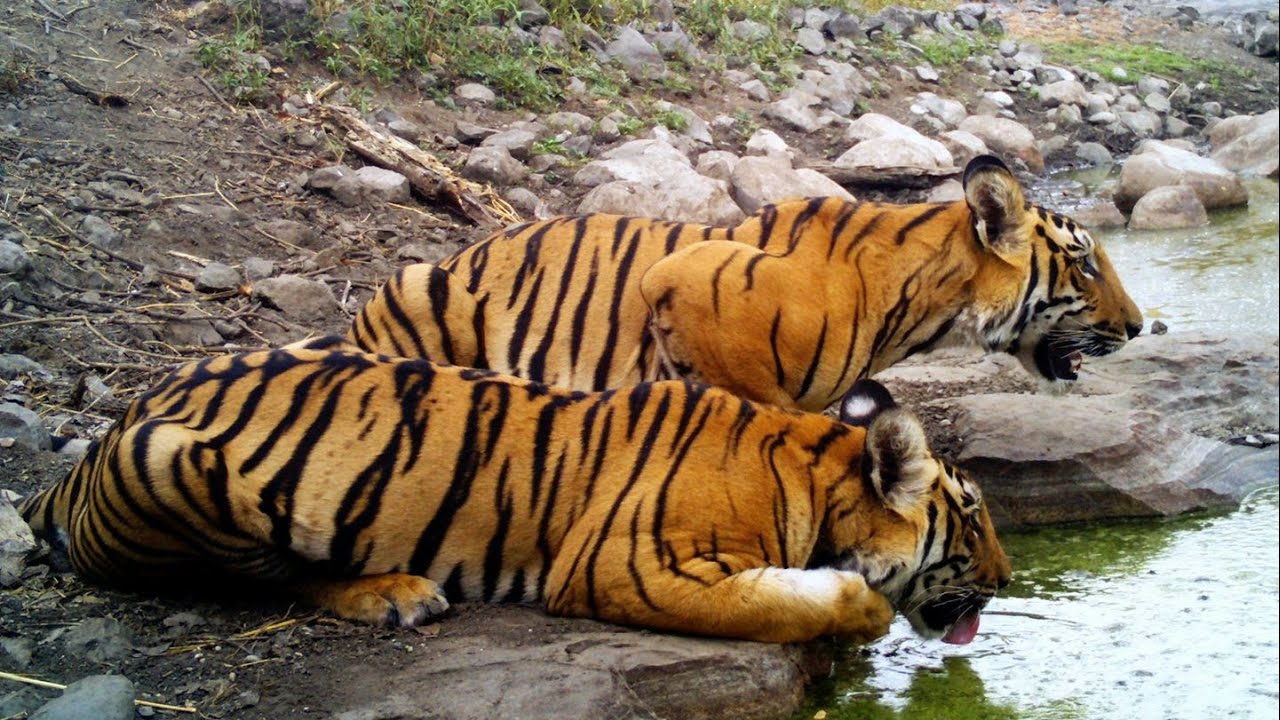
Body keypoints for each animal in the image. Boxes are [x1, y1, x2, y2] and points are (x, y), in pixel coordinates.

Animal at [19, 337, 1010, 645]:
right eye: (971, 522)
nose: (1005, 583)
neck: (809, 466)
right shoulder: (631, 565)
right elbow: (786, 603)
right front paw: (857, 608)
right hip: (172, 463)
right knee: (254, 579)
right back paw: (393, 595)